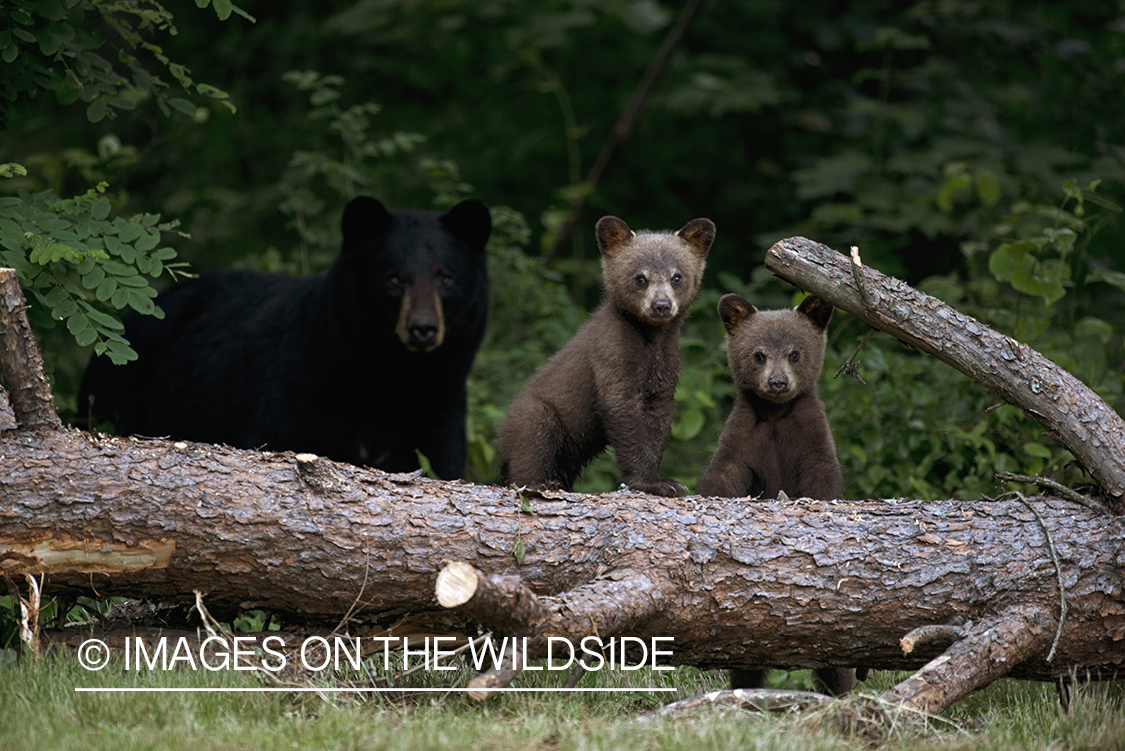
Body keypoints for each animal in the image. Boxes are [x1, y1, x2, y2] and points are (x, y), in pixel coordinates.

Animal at [79, 196, 492, 478]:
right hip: (119, 391)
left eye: (445, 277)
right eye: (394, 278)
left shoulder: (437, 407)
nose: (423, 328)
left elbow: (441, 463)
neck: (388, 377)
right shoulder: (299, 396)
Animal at [495, 213, 711, 494]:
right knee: (530, 447)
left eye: (677, 277)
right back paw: (542, 482)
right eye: (640, 278)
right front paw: (655, 483)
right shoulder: (610, 353)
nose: (661, 305)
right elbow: (621, 408)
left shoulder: (666, 367)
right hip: (533, 415)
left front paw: (665, 479)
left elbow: (659, 421)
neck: (650, 343)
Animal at [693, 290, 850, 697]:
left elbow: (822, 475)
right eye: (759, 354)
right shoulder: (745, 434)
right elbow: (723, 474)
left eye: (795, 353)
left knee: (836, 663)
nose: (778, 382)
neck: (778, 415)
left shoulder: (809, 434)